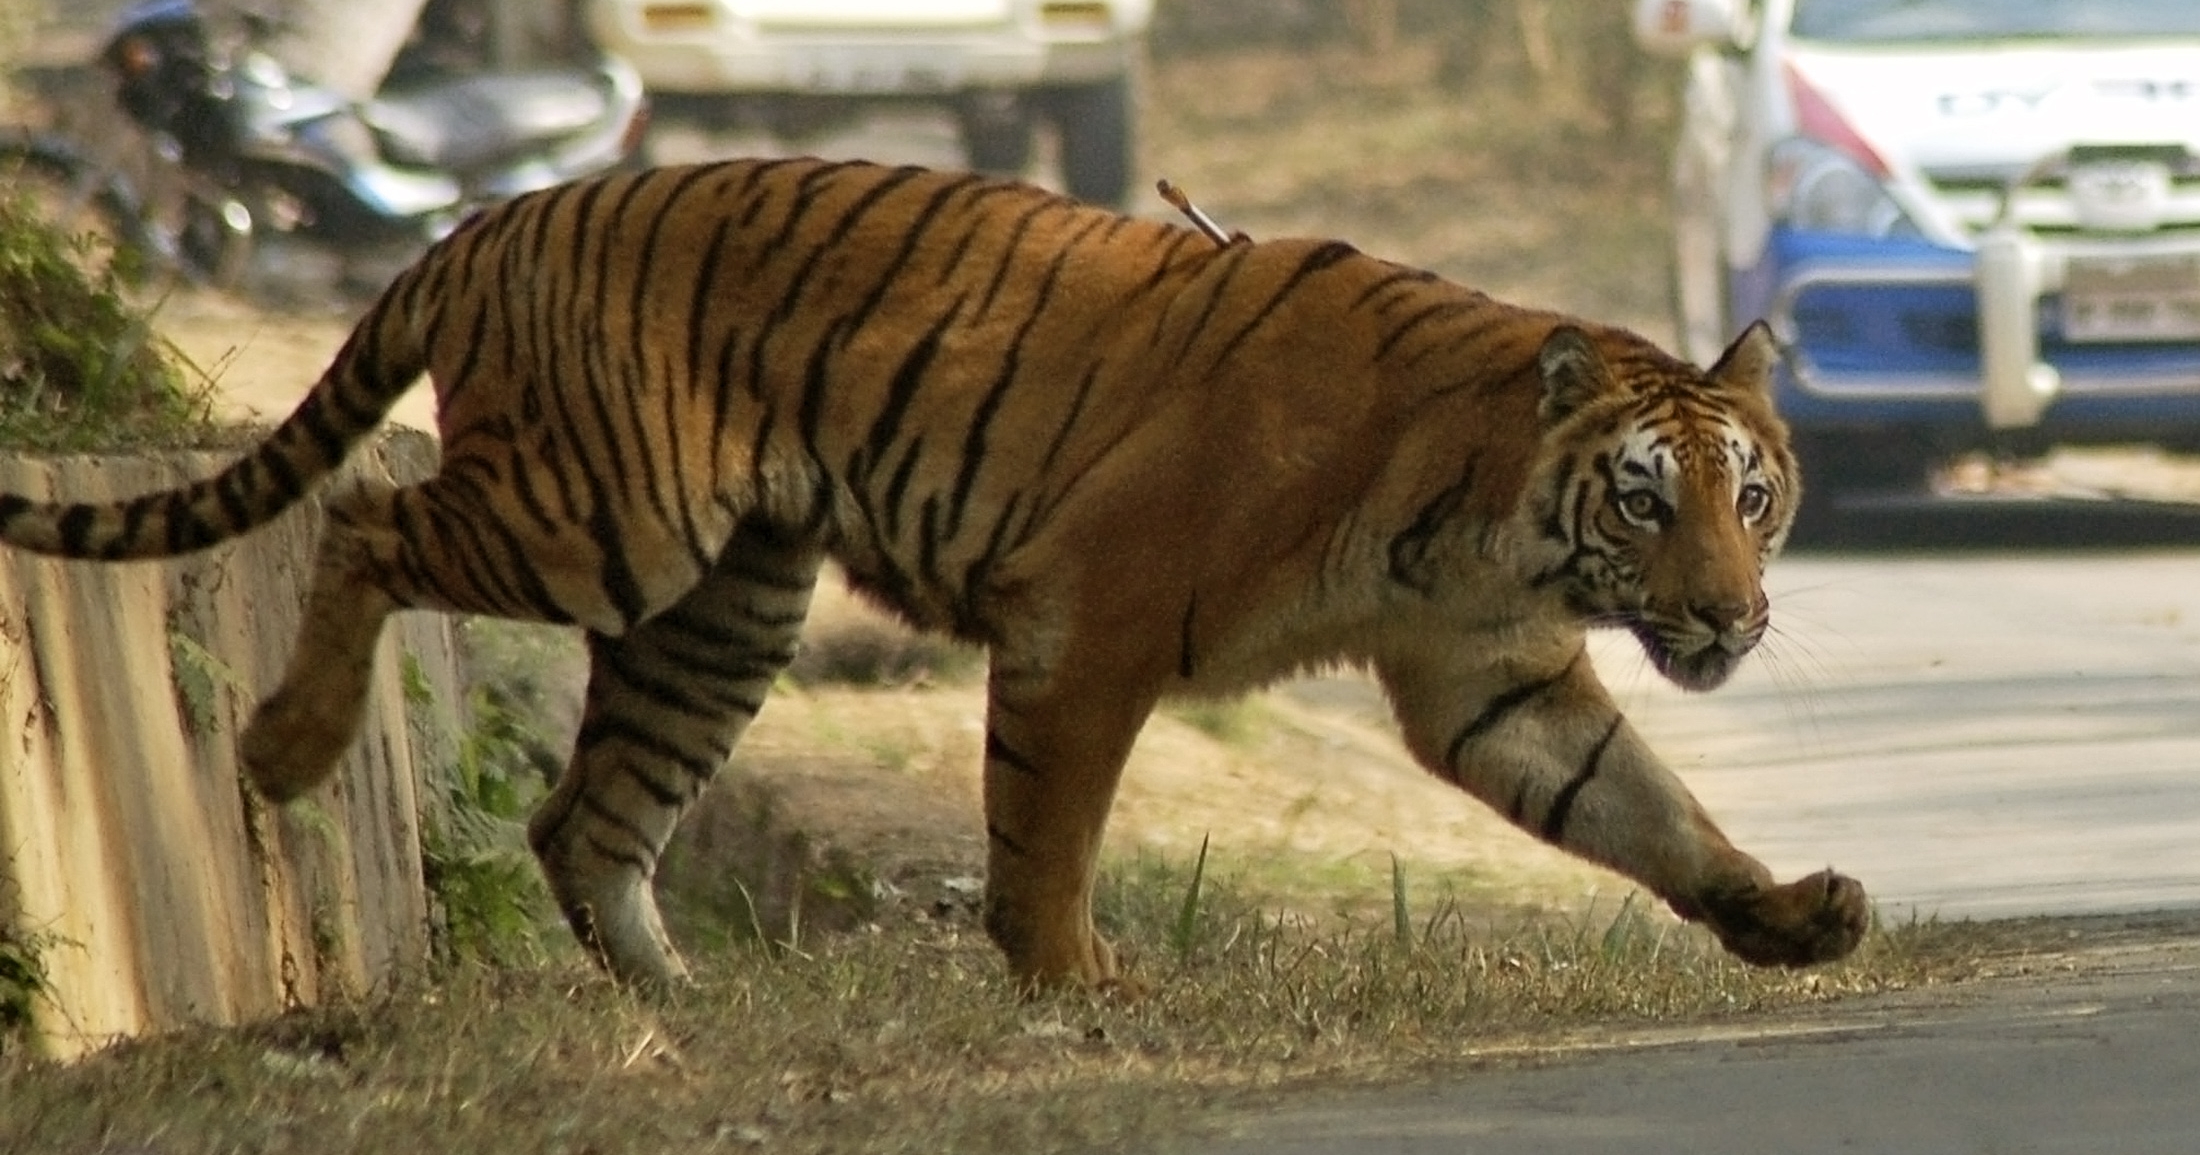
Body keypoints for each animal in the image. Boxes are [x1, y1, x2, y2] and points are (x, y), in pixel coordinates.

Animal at [0, 156, 1869, 991]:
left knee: (584, 817)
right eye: (1645, 503)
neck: (1486, 510)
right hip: (605, 522)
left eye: (1751, 494)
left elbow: (1647, 812)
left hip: (720, 604)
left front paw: (1785, 913)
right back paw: (282, 748)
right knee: (365, 527)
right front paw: (1072, 981)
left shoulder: (1494, 676)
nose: (1730, 612)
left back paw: (692, 1008)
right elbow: (1047, 826)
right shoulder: (1093, 625)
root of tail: (488, 219)